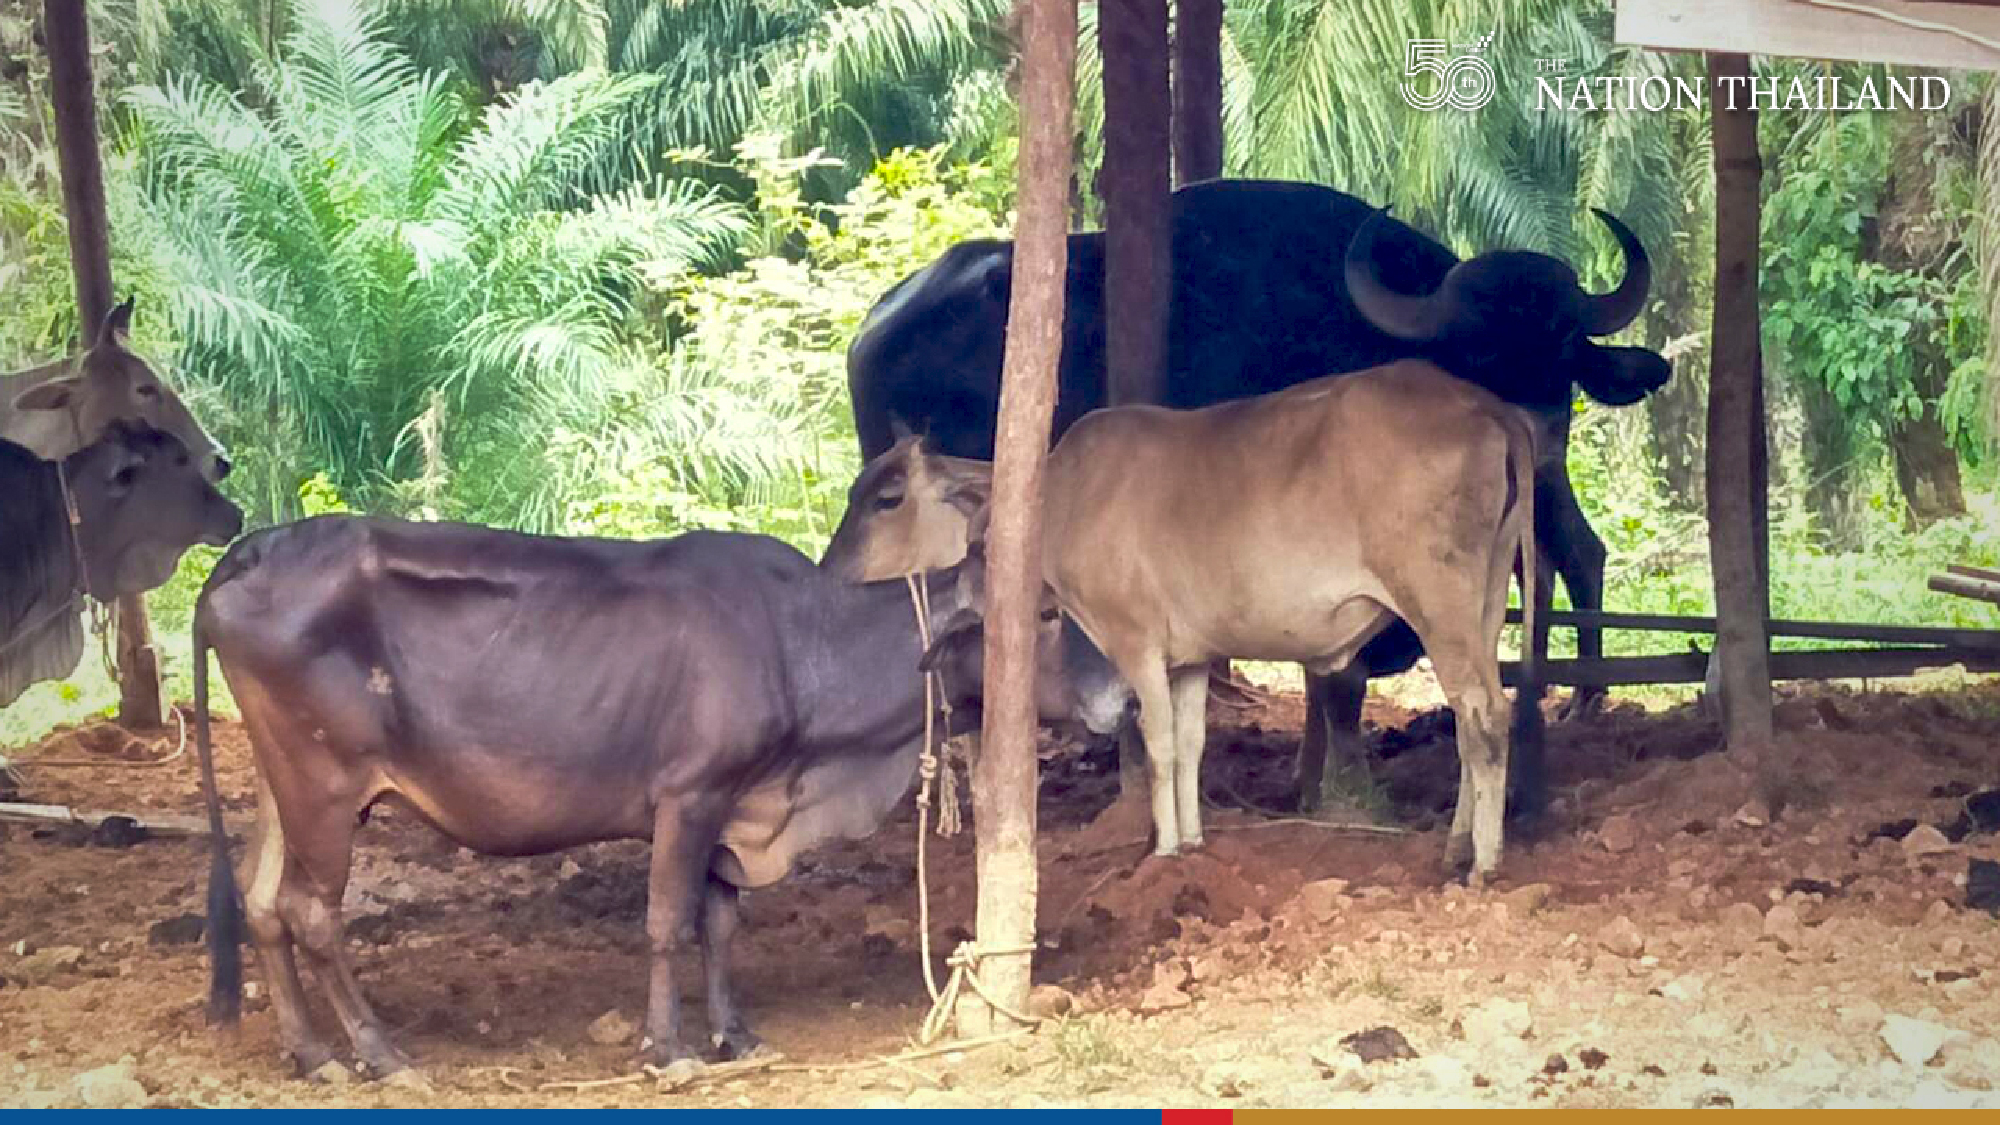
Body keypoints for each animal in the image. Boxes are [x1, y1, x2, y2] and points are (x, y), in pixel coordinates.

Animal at [191, 517, 1125, 1078]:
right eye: (1044, 611)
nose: (1123, 694)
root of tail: (249, 549)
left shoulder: (733, 805)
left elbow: (720, 923)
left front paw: (735, 1033)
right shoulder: (690, 795)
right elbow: (668, 922)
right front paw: (667, 1046)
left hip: (285, 786)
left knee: (264, 904)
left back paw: (310, 1050)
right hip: (325, 786)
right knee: (311, 913)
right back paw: (379, 1051)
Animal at [840, 182, 1669, 819]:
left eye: (1566, 346)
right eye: (1476, 347)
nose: (1539, 430)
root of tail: (874, 328)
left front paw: (1311, 777)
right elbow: (1338, 674)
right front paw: (1338, 787)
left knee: (1572, 555)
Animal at [1032, 361, 1535, 878]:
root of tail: (1484, 403)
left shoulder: (1138, 643)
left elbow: (1161, 746)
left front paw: (1165, 852)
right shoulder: (1191, 657)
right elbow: (1191, 744)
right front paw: (1193, 843)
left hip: (1439, 604)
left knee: (1484, 716)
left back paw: (1483, 863)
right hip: (1488, 600)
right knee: (1471, 723)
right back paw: (1457, 845)